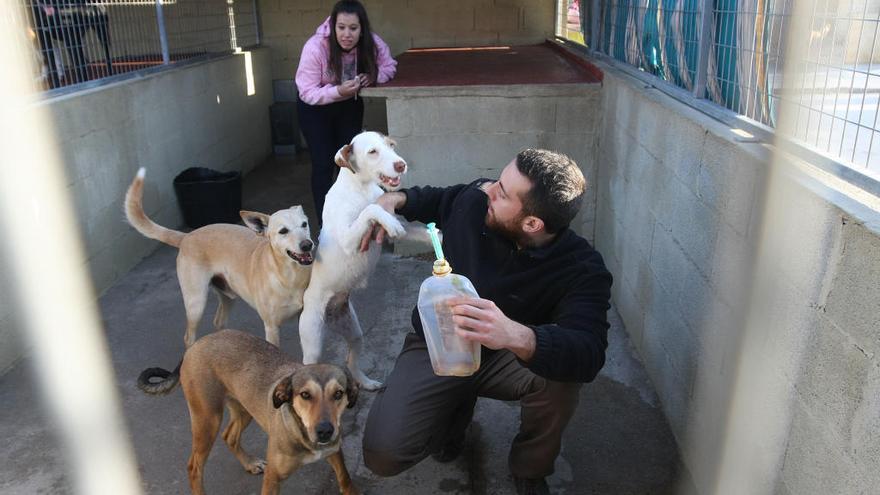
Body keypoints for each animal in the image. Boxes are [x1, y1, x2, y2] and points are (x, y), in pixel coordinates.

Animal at [124, 169, 314, 354]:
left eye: (304, 224)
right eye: (283, 231)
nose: (307, 245)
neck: (290, 276)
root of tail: (187, 236)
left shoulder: (304, 319)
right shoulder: (271, 327)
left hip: (227, 296)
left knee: (218, 322)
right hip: (196, 303)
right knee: (189, 337)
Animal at [141, 330, 358, 495]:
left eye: (338, 394)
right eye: (305, 395)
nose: (325, 431)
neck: (303, 435)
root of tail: (196, 344)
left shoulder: (335, 453)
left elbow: (346, 480)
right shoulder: (273, 478)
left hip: (244, 409)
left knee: (229, 436)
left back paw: (250, 463)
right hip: (207, 419)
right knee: (194, 467)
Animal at [296, 132, 406, 392]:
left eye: (391, 145)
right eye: (372, 152)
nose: (401, 165)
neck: (361, 189)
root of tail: (331, 316)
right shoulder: (348, 239)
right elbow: (371, 210)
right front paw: (391, 223)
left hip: (354, 333)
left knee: (350, 361)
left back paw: (366, 382)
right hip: (313, 343)